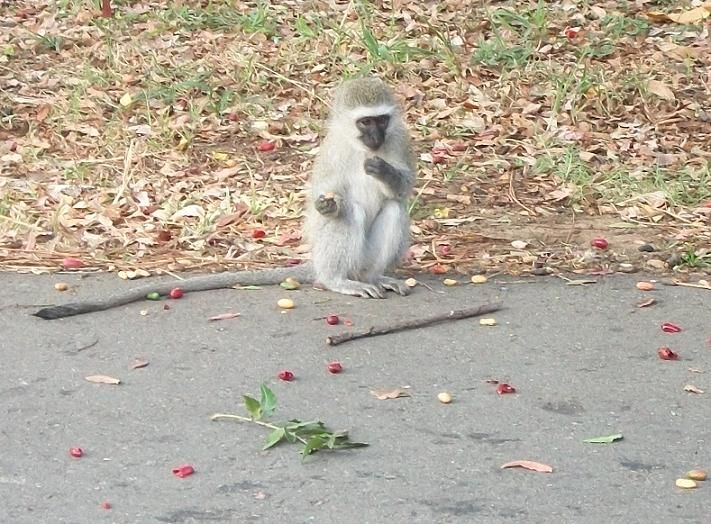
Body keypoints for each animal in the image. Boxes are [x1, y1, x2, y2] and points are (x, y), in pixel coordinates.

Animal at [33, 77, 414, 320]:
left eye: (382, 121)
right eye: (365, 123)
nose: (376, 138)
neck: (359, 147)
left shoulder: (398, 139)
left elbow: (403, 187)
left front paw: (382, 170)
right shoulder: (331, 153)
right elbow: (324, 206)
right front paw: (327, 204)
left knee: (394, 208)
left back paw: (374, 278)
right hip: (329, 257)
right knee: (348, 214)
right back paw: (339, 281)